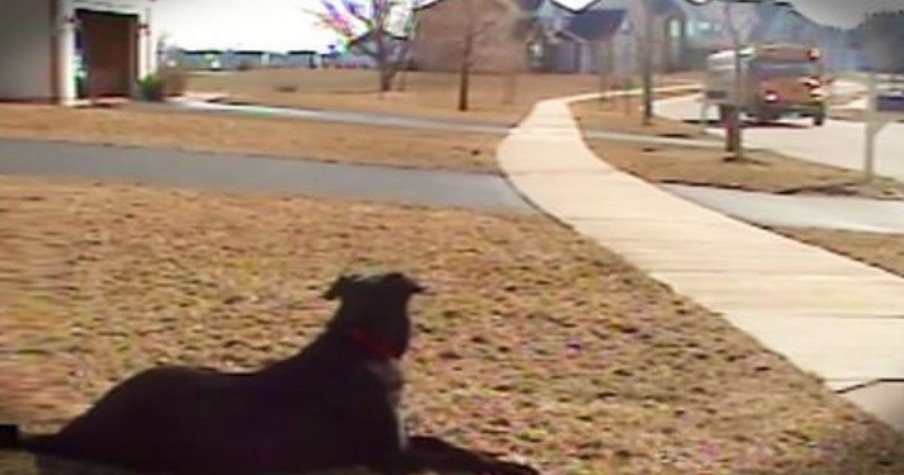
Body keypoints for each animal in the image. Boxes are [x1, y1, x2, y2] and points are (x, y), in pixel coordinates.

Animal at [0, 272, 540, 475]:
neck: (357, 341)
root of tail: (79, 430)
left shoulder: (401, 441)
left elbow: (448, 446)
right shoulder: (390, 456)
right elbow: (449, 458)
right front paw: (510, 466)